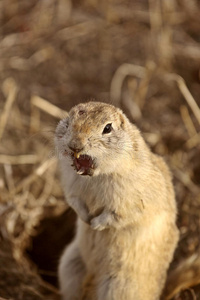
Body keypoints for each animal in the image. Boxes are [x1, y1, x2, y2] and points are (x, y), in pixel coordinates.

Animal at [55, 101, 180, 300]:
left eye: (107, 128)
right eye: (69, 119)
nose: (75, 145)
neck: (97, 176)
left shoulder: (131, 202)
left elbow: (116, 215)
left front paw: (94, 224)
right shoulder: (71, 186)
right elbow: (75, 202)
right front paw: (86, 219)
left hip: (119, 288)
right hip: (69, 265)